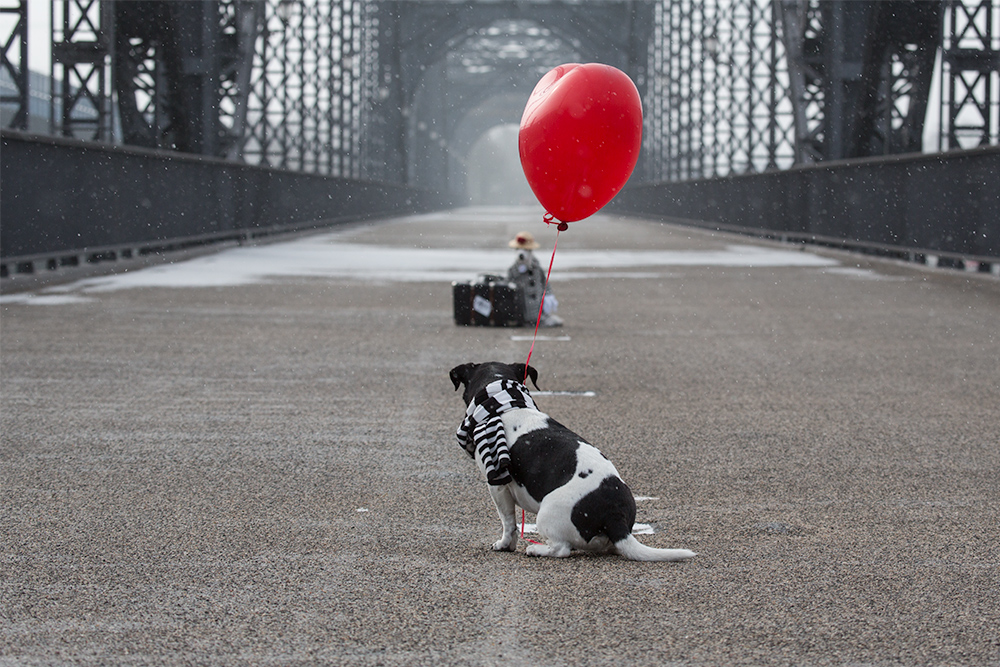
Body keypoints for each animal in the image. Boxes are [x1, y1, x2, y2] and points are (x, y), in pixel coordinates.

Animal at [452, 362, 696, 560]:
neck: (505, 404)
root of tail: (615, 517)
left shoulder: (497, 485)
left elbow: (508, 523)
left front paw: (504, 545)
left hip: (546, 514)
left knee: (561, 549)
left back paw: (536, 549)